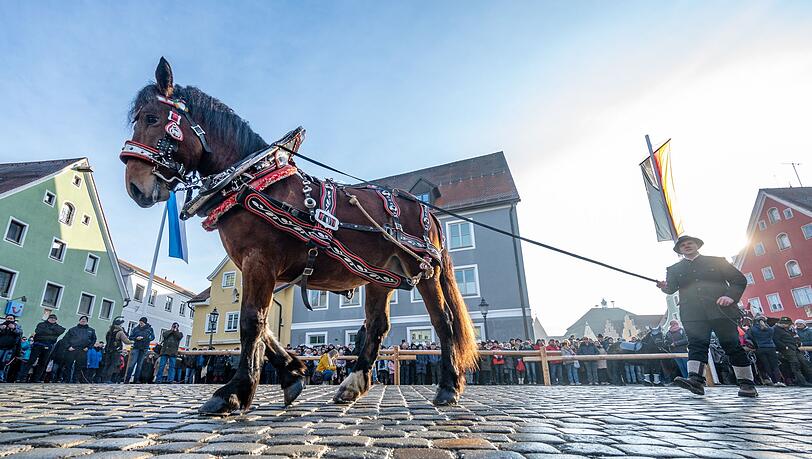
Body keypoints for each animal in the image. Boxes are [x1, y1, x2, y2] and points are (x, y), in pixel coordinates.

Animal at [120, 58, 479, 414]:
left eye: (152, 118)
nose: (136, 187)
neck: (253, 182)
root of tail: (423, 207)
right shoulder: (255, 268)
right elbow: (265, 325)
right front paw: (292, 373)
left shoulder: (259, 260)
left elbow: (252, 321)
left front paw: (234, 391)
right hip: (380, 278)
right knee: (377, 326)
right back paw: (353, 384)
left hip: (423, 272)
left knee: (444, 322)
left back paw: (448, 387)